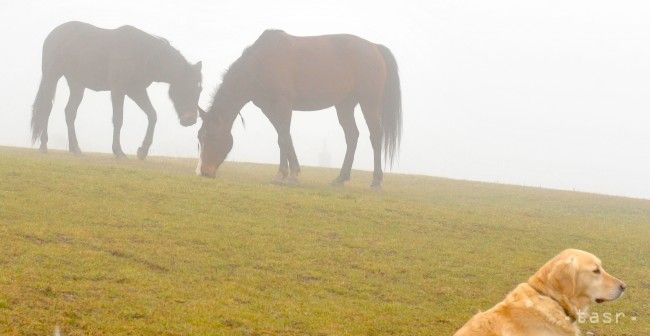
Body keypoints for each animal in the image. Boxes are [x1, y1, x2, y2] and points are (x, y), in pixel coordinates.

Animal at [32, 21, 200, 159]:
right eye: (189, 87)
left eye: (199, 89)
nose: (191, 120)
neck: (143, 53)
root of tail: (53, 34)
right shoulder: (118, 91)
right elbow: (118, 119)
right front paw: (118, 151)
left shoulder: (136, 91)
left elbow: (152, 115)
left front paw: (142, 151)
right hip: (51, 76)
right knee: (46, 107)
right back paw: (44, 145)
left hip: (77, 84)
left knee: (70, 112)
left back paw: (75, 149)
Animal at [196, 30, 400, 188]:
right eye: (200, 138)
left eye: (212, 136)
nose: (204, 172)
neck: (260, 64)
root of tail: (374, 47)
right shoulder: (269, 109)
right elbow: (282, 138)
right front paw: (282, 174)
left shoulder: (283, 105)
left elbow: (284, 137)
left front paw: (291, 175)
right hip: (344, 105)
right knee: (352, 136)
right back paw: (340, 178)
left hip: (369, 103)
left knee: (375, 136)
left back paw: (376, 181)